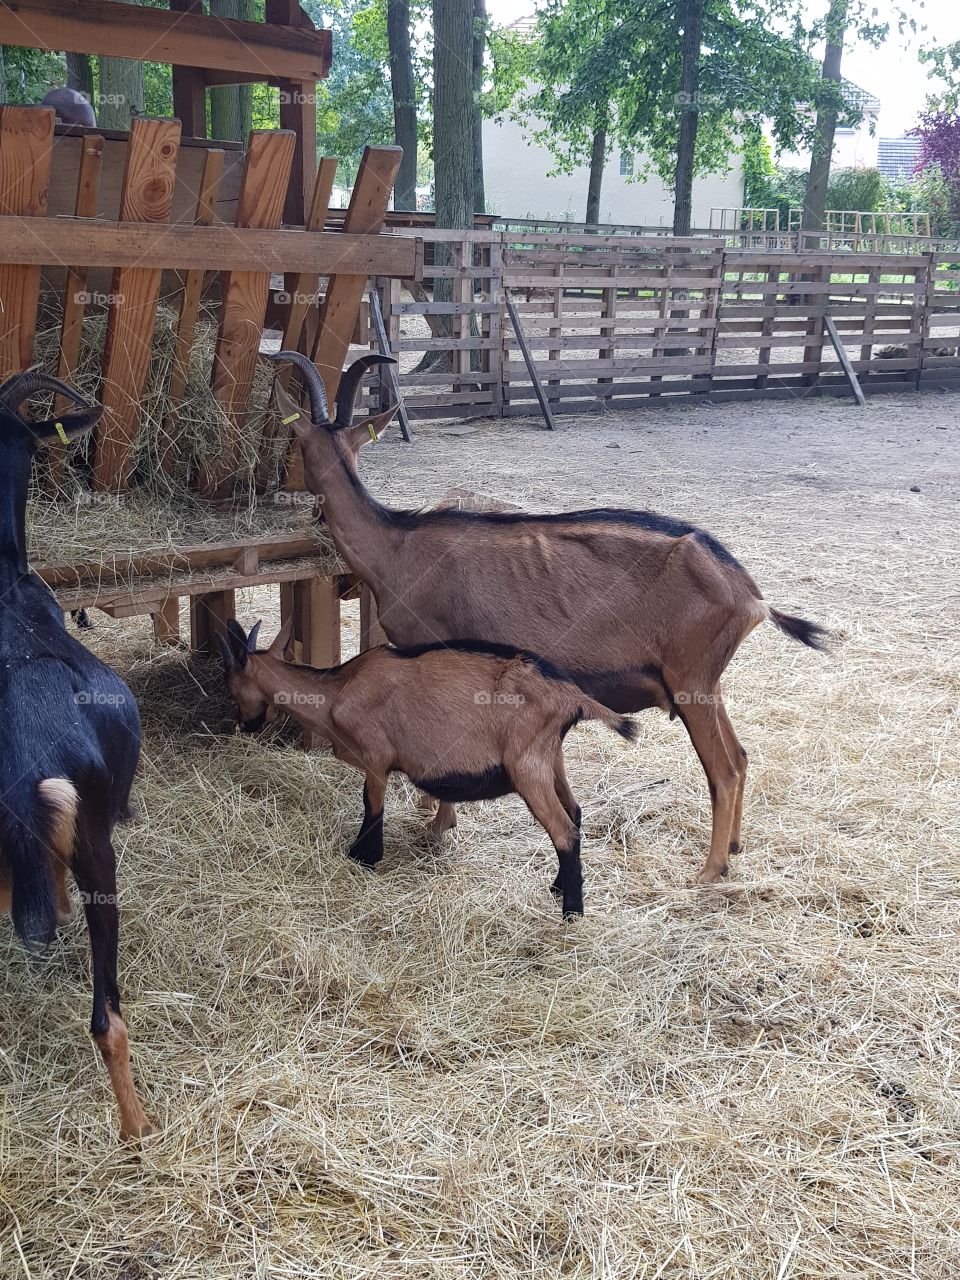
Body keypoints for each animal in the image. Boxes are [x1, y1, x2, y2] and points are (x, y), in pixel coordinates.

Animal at [220, 619, 635, 917]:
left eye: (231, 687)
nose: (246, 724)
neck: (337, 691)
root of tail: (572, 696)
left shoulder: (375, 756)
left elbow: (371, 806)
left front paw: (364, 857)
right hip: (552, 758)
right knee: (575, 812)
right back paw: (558, 887)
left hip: (527, 766)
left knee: (564, 831)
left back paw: (572, 912)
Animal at [269, 350, 830, 887]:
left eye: (297, 442)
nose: (288, 484)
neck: (396, 546)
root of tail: (750, 594)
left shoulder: (437, 650)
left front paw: (438, 823)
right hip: (708, 684)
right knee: (741, 756)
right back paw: (733, 849)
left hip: (691, 682)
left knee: (725, 769)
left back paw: (710, 871)